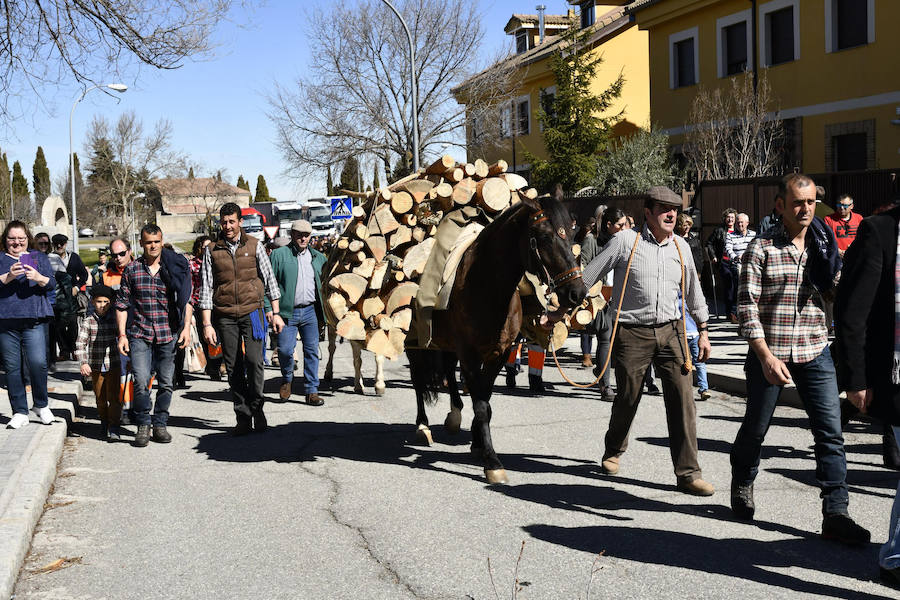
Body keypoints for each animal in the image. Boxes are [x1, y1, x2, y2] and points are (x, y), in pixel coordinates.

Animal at [410, 191, 592, 482]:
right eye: (544, 236)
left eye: (573, 232)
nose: (577, 293)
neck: (485, 285)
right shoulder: (470, 355)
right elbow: (481, 404)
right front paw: (492, 462)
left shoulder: (500, 352)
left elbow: (485, 399)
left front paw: (478, 444)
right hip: (416, 342)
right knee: (418, 380)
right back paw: (422, 426)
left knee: (448, 370)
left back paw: (454, 415)